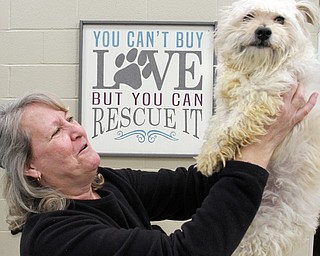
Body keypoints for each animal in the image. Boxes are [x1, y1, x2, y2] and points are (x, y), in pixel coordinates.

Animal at [196, 0, 320, 255]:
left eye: (280, 19)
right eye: (248, 16)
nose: (263, 31)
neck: (256, 67)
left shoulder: (264, 95)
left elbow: (233, 125)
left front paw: (212, 156)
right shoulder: (226, 104)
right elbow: (217, 127)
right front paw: (207, 156)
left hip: (265, 232)